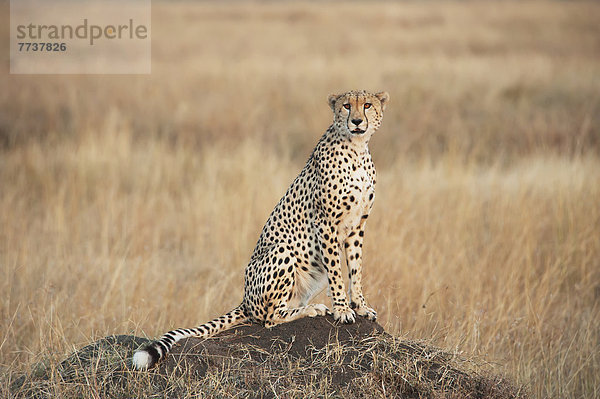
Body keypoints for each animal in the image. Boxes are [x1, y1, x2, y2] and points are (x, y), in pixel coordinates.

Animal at [132, 89, 390, 370]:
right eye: (346, 106)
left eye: (367, 105)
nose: (356, 121)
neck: (357, 149)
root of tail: (245, 300)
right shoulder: (326, 224)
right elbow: (337, 273)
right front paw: (342, 309)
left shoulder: (357, 226)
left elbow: (355, 269)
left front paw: (360, 305)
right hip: (282, 251)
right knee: (269, 318)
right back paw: (313, 309)